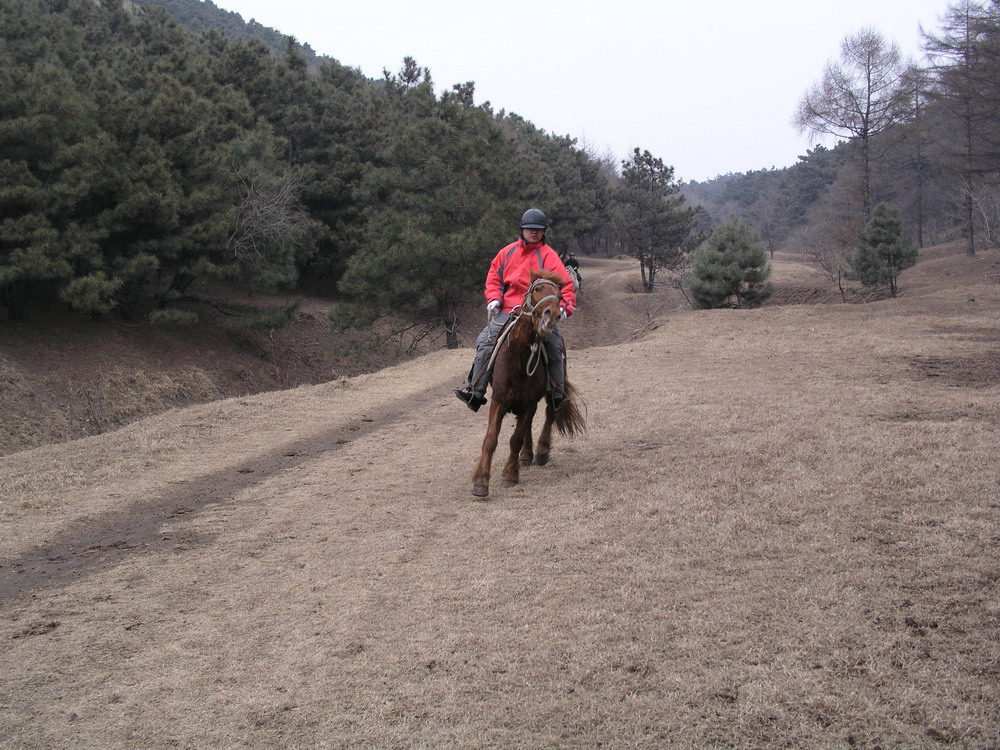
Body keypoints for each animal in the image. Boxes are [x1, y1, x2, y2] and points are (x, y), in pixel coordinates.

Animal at [474, 270, 588, 500]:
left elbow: (515, 439)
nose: (551, 316)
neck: (518, 358)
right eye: (537, 289)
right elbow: (491, 439)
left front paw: (510, 475)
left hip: (548, 393)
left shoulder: (528, 402)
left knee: (550, 413)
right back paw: (526, 456)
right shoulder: (499, 400)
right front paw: (481, 481)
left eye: (559, 296)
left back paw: (541, 451)